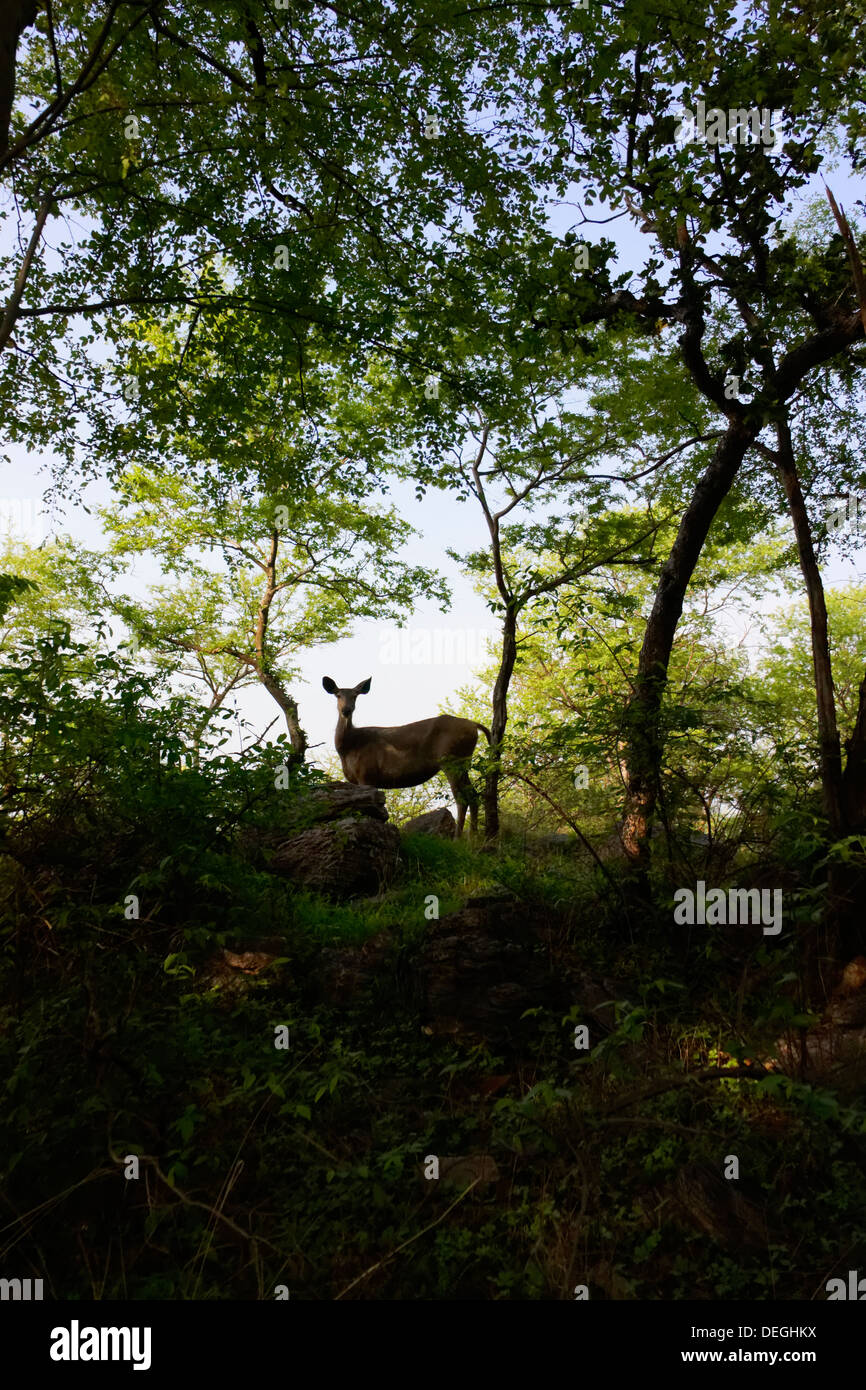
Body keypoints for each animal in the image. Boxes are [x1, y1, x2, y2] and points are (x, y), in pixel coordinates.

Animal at [323, 675, 492, 834]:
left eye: (355, 695)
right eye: (338, 695)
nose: (346, 710)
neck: (348, 748)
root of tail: (474, 725)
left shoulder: (367, 774)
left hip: (451, 760)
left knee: (462, 799)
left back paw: (459, 838)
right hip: (461, 762)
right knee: (474, 796)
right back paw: (474, 837)